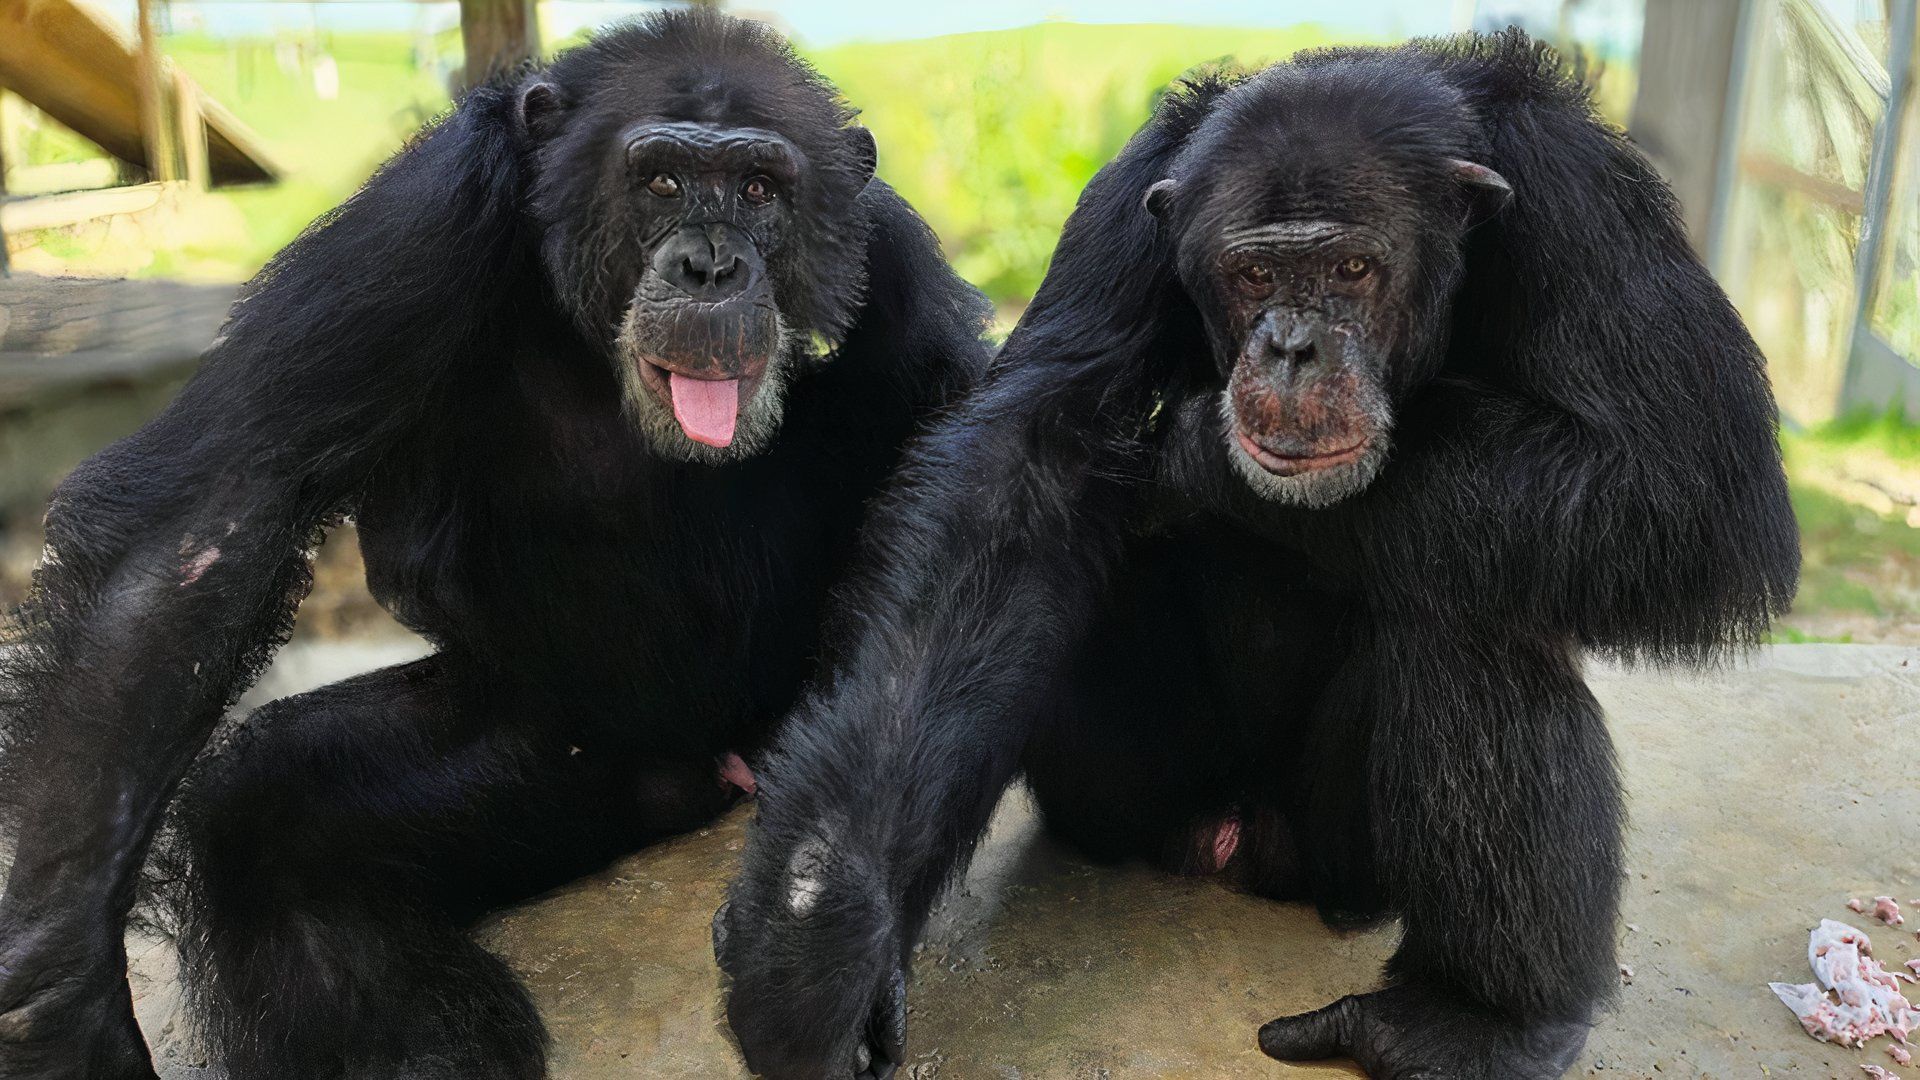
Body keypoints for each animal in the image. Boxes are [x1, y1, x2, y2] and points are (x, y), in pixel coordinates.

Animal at [0, 10, 983, 1076]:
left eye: (760, 189)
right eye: (662, 181)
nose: (712, 263)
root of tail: (699, 773)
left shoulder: (893, 254)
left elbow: (960, 494)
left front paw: (831, 919)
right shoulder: (427, 215)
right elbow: (206, 523)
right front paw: (59, 1003)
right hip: (558, 754)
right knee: (262, 820)